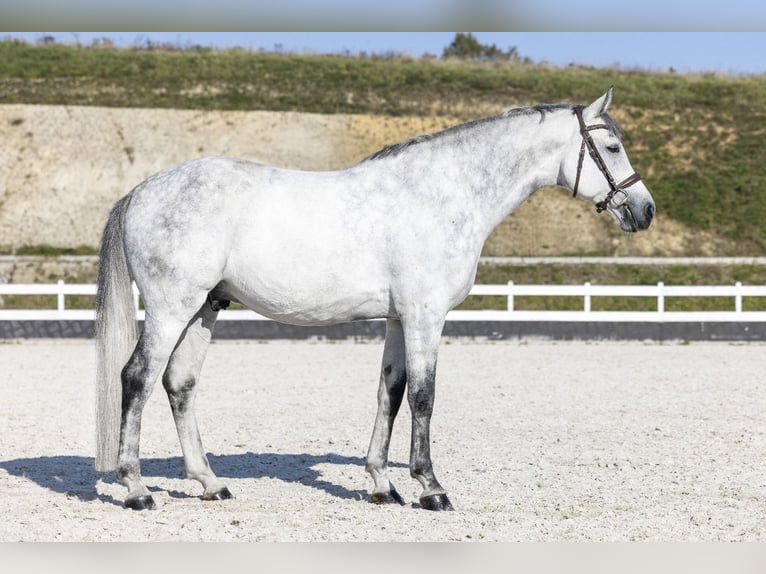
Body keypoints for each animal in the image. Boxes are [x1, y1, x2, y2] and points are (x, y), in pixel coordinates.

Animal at [96, 88, 656, 510]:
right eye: (611, 147)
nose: (644, 210)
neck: (443, 195)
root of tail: (140, 191)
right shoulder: (426, 316)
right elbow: (425, 396)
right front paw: (430, 488)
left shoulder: (397, 319)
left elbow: (391, 392)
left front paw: (382, 485)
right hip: (171, 309)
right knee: (138, 378)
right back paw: (136, 488)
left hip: (204, 310)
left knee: (180, 384)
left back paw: (210, 483)